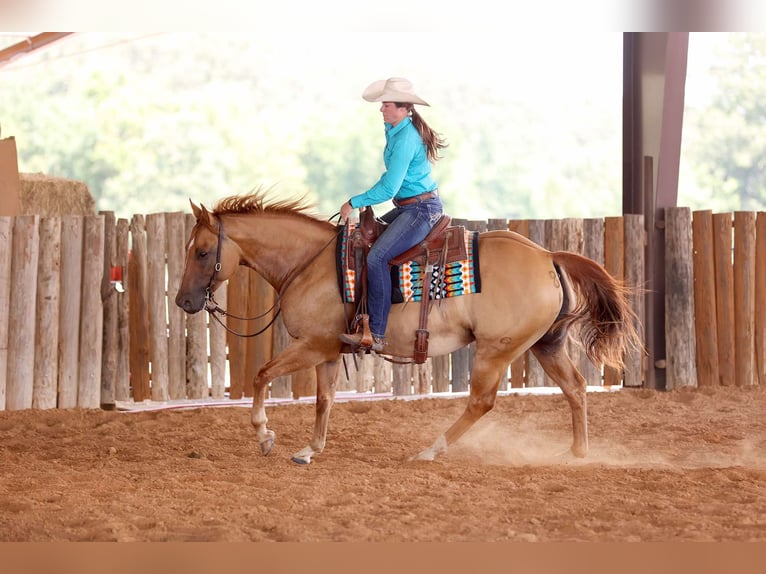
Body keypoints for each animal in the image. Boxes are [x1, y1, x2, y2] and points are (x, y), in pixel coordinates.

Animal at [175, 191, 641, 464]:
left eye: (202, 252)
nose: (183, 302)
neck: (310, 263)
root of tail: (548, 256)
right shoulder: (328, 351)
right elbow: (324, 401)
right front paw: (310, 449)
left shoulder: (311, 345)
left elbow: (261, 374)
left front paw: (264, 435)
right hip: (546, 344)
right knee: (575, 388)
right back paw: (577, 452)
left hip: (496, 349)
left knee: (481, 402)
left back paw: (432, 449)